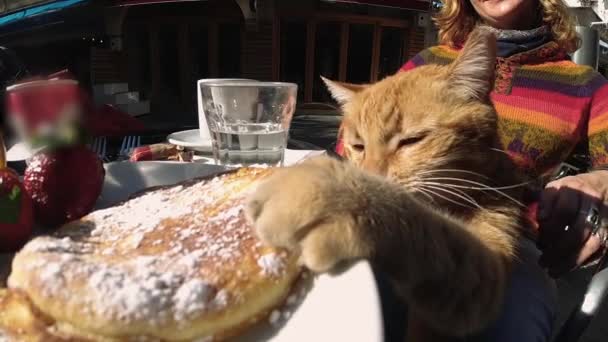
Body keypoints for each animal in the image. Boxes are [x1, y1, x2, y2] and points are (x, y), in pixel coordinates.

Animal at [243, 28, 532, 340]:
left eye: (411, 140)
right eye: (358, 145)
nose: (371, 174)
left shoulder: (481, 277)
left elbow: (424, 224)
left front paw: (334, 194)